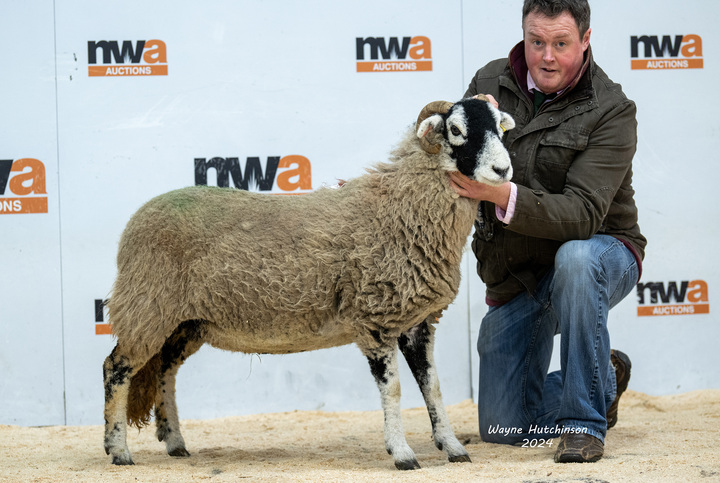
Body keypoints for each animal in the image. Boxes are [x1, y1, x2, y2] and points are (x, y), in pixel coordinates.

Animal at [104, 96, 516, 470]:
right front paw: (402, 454)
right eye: (457, 130)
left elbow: (433, 387)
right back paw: (118, 450)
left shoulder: (418, 321)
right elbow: (395, 390)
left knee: (164, 371)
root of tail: (133, 224)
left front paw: (453, 448)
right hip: (147, 306)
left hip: (184, 322)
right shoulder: (375, 319)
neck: (399, 210)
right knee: (116, 368)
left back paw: (175, 442)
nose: (503, 170)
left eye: (499, 128)